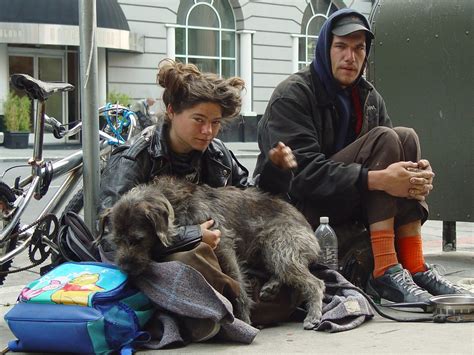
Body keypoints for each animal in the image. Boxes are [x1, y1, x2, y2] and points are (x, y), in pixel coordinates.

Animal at [107, 177, 324, 330]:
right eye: (116, 241)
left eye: (137, 239)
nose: (125, 268)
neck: (174, 202)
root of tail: (310, 228)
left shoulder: (223, 243)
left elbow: (238, 283)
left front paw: (244, 318)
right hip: (268, 251)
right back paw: (272, 286)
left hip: (280, 247)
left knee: (314, 282)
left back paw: (313, 314)